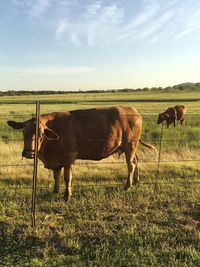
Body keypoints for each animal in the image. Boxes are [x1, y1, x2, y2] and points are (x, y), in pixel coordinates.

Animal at [7, 106, 156, 201]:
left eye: (41, 134)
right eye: (23, 132)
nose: (29, 153)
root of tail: (133, 111)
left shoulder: (69, 158)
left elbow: (67, 178)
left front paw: (67, 196)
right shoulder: (57, 161)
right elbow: (56, 176)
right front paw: (55, 191)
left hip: (130, 146)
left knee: (130, 165)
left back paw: (127, 186)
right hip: (129, 148)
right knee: (136, 161)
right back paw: (136, 181)